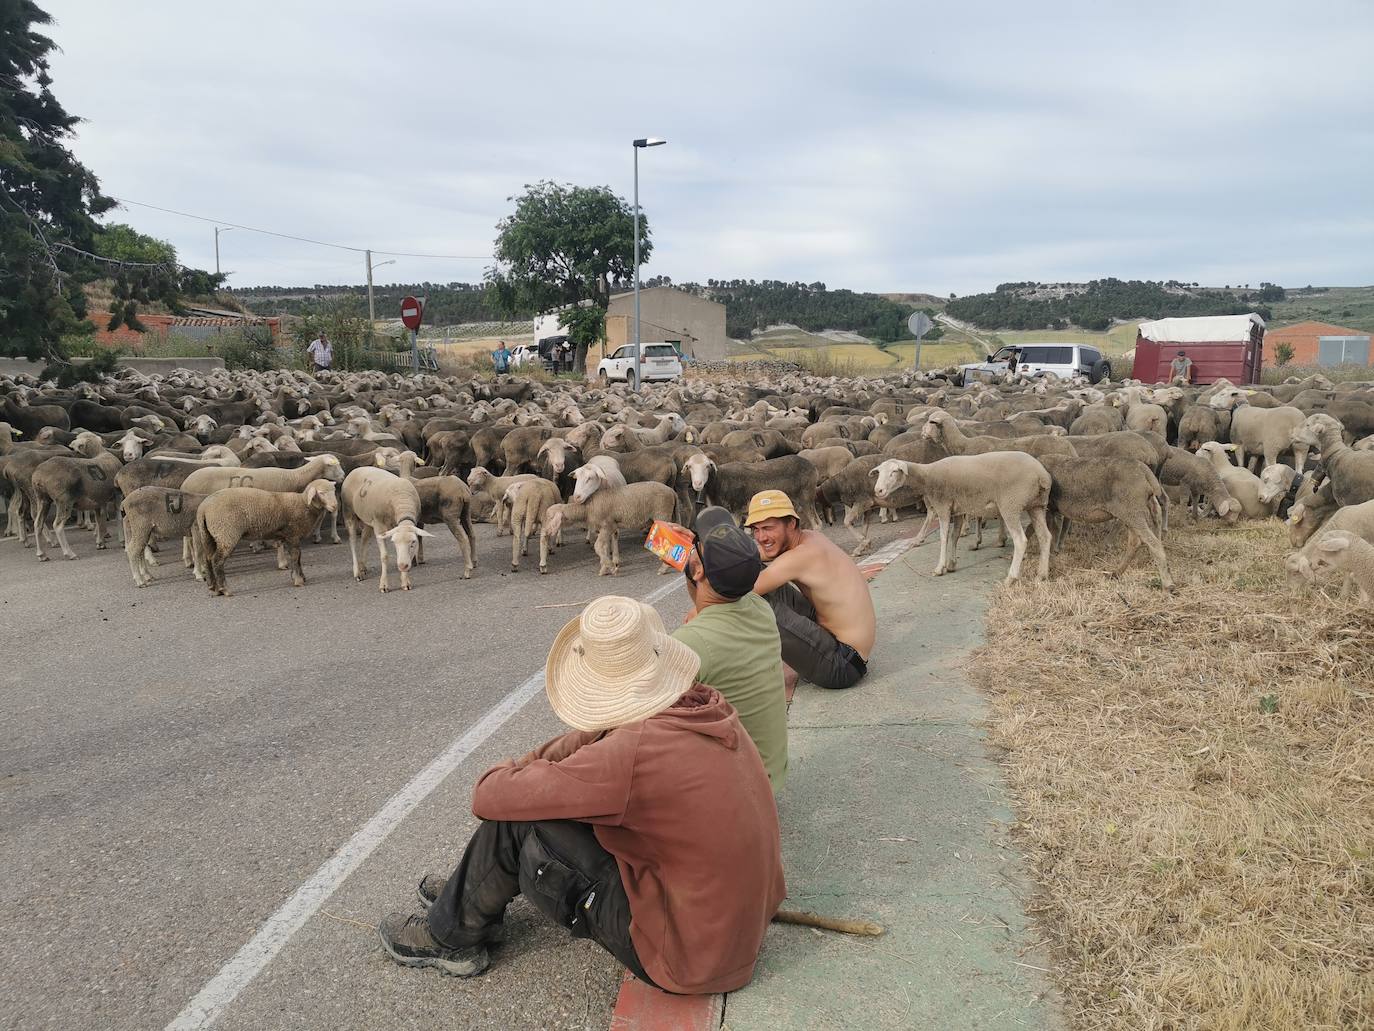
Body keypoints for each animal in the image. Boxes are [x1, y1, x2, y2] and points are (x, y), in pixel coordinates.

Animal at [195, 478, 339, 593]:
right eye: (321, 493)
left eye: (334, 491)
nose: (335, 506)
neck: (304, 504)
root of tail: (203, 508)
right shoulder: (293, 534)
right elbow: (295, 557)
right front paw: (298, 580)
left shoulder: (288, 536)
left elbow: (297, 558)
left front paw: (298, 576)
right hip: (226, 532)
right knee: (217, 560)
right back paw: (224, 589)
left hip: (209, 535)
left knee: (208, 559)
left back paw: (212, 587)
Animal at [868, 456, 1049, 585]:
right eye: (879, 473)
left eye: (894, 471)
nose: (878, 490)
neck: (927, 476)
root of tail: (1042, 475)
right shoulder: (957, 511)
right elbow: (954, 536)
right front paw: (951, 564)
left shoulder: (943, 506)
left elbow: (943, 537)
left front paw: (939, 568)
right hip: (1037, 506)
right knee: (1045, 537)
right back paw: (1042, 575)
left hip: (1010, 505)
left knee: (1021, 540)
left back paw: (1011, 578)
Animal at [1033, 459, 1176, 593]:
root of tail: (1145, 472)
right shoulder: (1051, 509)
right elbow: (1053, 532)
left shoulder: (1048, 508)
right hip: (1136, 511)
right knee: (1137, 541)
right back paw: (1116, 573)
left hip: (1132, 511)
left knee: (1153, 543)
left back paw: (1168, 585)